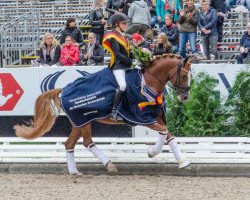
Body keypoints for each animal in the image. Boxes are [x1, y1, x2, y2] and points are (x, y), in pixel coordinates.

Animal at [13, 53, 192, 175]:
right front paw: (152, 152)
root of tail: (63, 90)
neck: (149, 82)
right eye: (184, 75)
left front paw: (183, 162)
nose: (185, 97)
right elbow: (164, 132)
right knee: (87, 142)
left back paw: (75, 172)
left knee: (70, 144)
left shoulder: (156, 117)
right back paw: (108, 164)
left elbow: (169, 135)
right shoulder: (143, 118)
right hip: (83, 121)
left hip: (79, 123)